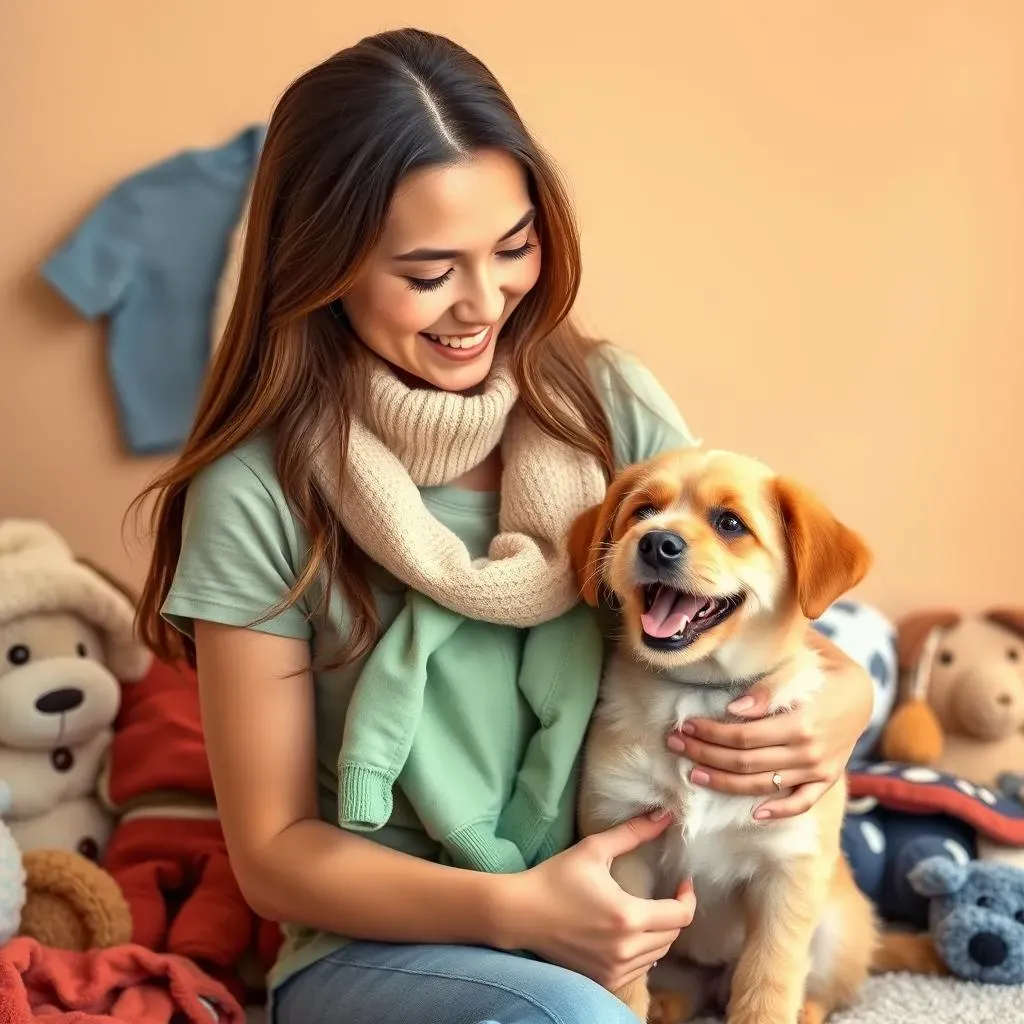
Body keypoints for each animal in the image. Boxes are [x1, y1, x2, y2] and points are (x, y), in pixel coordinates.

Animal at [569, 448, 880, 1024]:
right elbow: (623, 983)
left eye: (730, 523)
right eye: (643, 511)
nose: (656, 541)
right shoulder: (622, 854)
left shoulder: (787, 870)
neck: (701, 690)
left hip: (836, 931)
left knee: (818, 993)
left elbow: (768, 986)